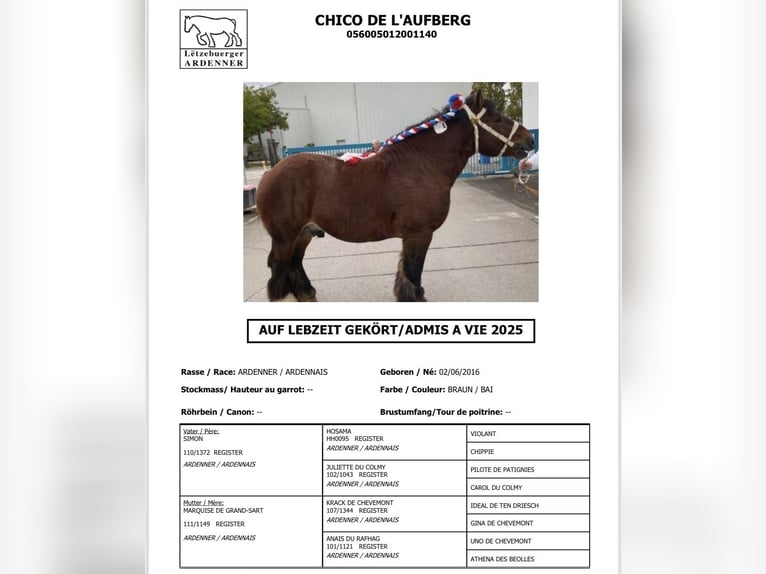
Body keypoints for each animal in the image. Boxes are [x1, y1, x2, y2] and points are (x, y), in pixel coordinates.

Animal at [255, 91, 536, 302]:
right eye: (497, 119)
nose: (530, 139)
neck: (422, 164)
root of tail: (269, 174)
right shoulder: (419, 234)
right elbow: (413, 271)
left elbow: (406, 271)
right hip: (285, 236)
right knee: (279, 267)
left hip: (304, 233)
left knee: (294, 263)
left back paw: (306, 293)